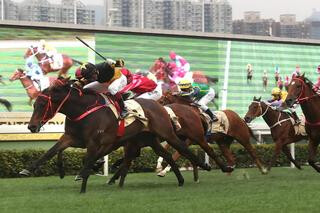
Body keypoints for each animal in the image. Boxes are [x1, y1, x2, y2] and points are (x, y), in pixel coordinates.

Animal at [23, 78, 211, 193]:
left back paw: (205, 165)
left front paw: (83, 180)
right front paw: (27, 169)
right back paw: (180, 179)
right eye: (35, 104)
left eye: (42, 104)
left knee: (185, 148)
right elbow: (51, 152)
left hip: (167, 133)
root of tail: (161, 107)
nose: (32, 126)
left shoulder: (97, 142)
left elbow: (89, 160)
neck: (83, 110)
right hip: (150, 139)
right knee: (167, 155)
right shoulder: (71, 138)